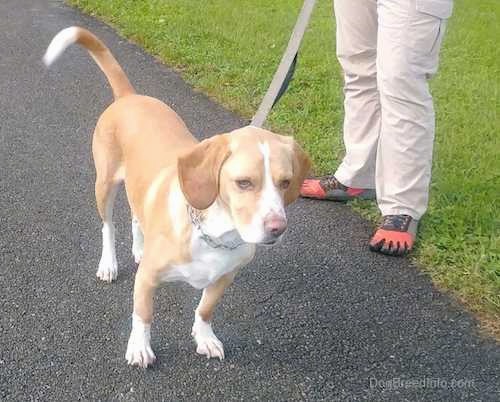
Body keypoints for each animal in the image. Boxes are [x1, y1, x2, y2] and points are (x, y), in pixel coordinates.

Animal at [43, 27, 310, 368]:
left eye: (285, 182)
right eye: (243, 183)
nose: (277, 228)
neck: (216, 234)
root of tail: (129, 97)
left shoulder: (225, 277)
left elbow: (205, 308)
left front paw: (205, 337)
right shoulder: (146, 280)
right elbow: (143, 315)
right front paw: (139, 347)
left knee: (136, 215)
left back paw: (139, 246)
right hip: (104, 185)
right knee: (108, 226)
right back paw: (109, 263)